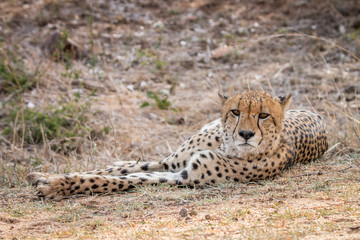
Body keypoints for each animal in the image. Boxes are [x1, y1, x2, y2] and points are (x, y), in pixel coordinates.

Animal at [26, 91, 330, 200]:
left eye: (263, 115)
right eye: (236, 112)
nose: (245, 134)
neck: (226, 147)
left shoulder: (183, 176)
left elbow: (125, 179)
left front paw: (56, 185)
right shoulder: (174, 164)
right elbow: (117, 173)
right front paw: (50, 178)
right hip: (177, 153)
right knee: (128, 164)